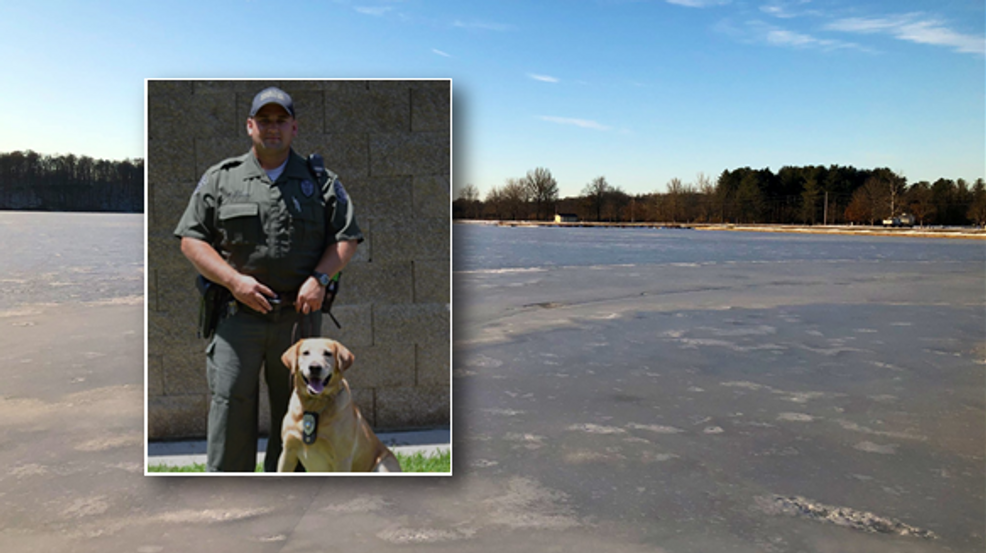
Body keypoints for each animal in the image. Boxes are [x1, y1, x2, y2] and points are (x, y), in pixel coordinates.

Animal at [276, 336, 400, 470]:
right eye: (305, 353)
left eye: (327, 353)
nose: (315, 367)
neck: (314, 404)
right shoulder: (288, 451)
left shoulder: (341, 458)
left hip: (384, 464)